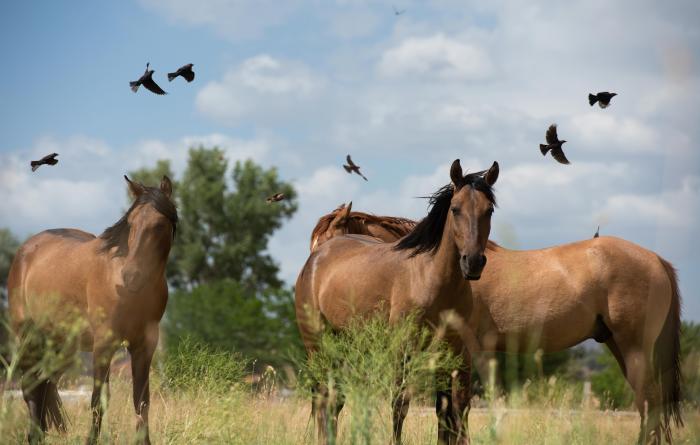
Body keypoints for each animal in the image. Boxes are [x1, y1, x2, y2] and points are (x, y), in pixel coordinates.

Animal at [7, 175, 177, 445]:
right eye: (131, 223)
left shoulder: (144, 345)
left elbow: (142, 401)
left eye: (159, 225)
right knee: (31, 387)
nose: (131, 276)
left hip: (62, 346)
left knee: (45, 385)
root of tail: (27, 249)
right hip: (28, 338)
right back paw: (34, 436)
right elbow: (98, 401)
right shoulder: (104, 344)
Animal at [296, 159, 500, 445]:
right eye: (455, 209)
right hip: (317, 345)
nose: (472, 262)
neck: (430, 277)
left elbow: (453, 409)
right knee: (324, 398)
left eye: (488, 210)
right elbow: (400, 404)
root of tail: (314, 261)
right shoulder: (403, 350)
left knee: (334, 401)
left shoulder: (457, 352)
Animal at [310, 208, 683, 444]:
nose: (310, 280)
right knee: (650, 407)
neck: (436, 269)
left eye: (328, 242)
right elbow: (445, 414)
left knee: (650, 405)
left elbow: (457, 412)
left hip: (633, 348)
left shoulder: (465, 354)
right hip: (619, 346)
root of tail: (656, 260)